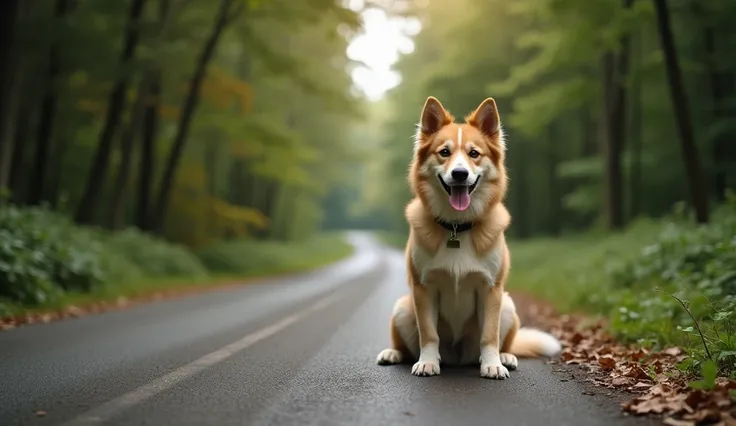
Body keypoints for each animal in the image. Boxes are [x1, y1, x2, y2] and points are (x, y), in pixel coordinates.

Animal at [376, 96, 560, 380]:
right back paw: (394, 353)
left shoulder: (490, 290)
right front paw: (427, 362)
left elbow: (489, 336)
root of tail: (458, 358)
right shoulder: (424, 288)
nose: (460, 174)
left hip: (508, 305)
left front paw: (492, 364)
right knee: (407, 346)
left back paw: (505, 357)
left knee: (502, 343)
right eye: (444, 152)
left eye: (474, 154)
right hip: (403, 307)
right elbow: (429, 334)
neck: (457, 226)